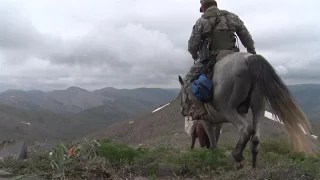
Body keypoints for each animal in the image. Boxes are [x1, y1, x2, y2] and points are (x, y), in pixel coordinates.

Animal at [178, 51, 318, 169]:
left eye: (181, 93)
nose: (183, 112)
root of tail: (249, 58)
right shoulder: (217, 122)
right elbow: (215, 138)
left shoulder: (207, 121)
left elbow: (212, 142)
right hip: (259, 106)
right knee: (255, 136)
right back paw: (253, 164)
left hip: (227, 108)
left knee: (245, 129)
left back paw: (237, 157)